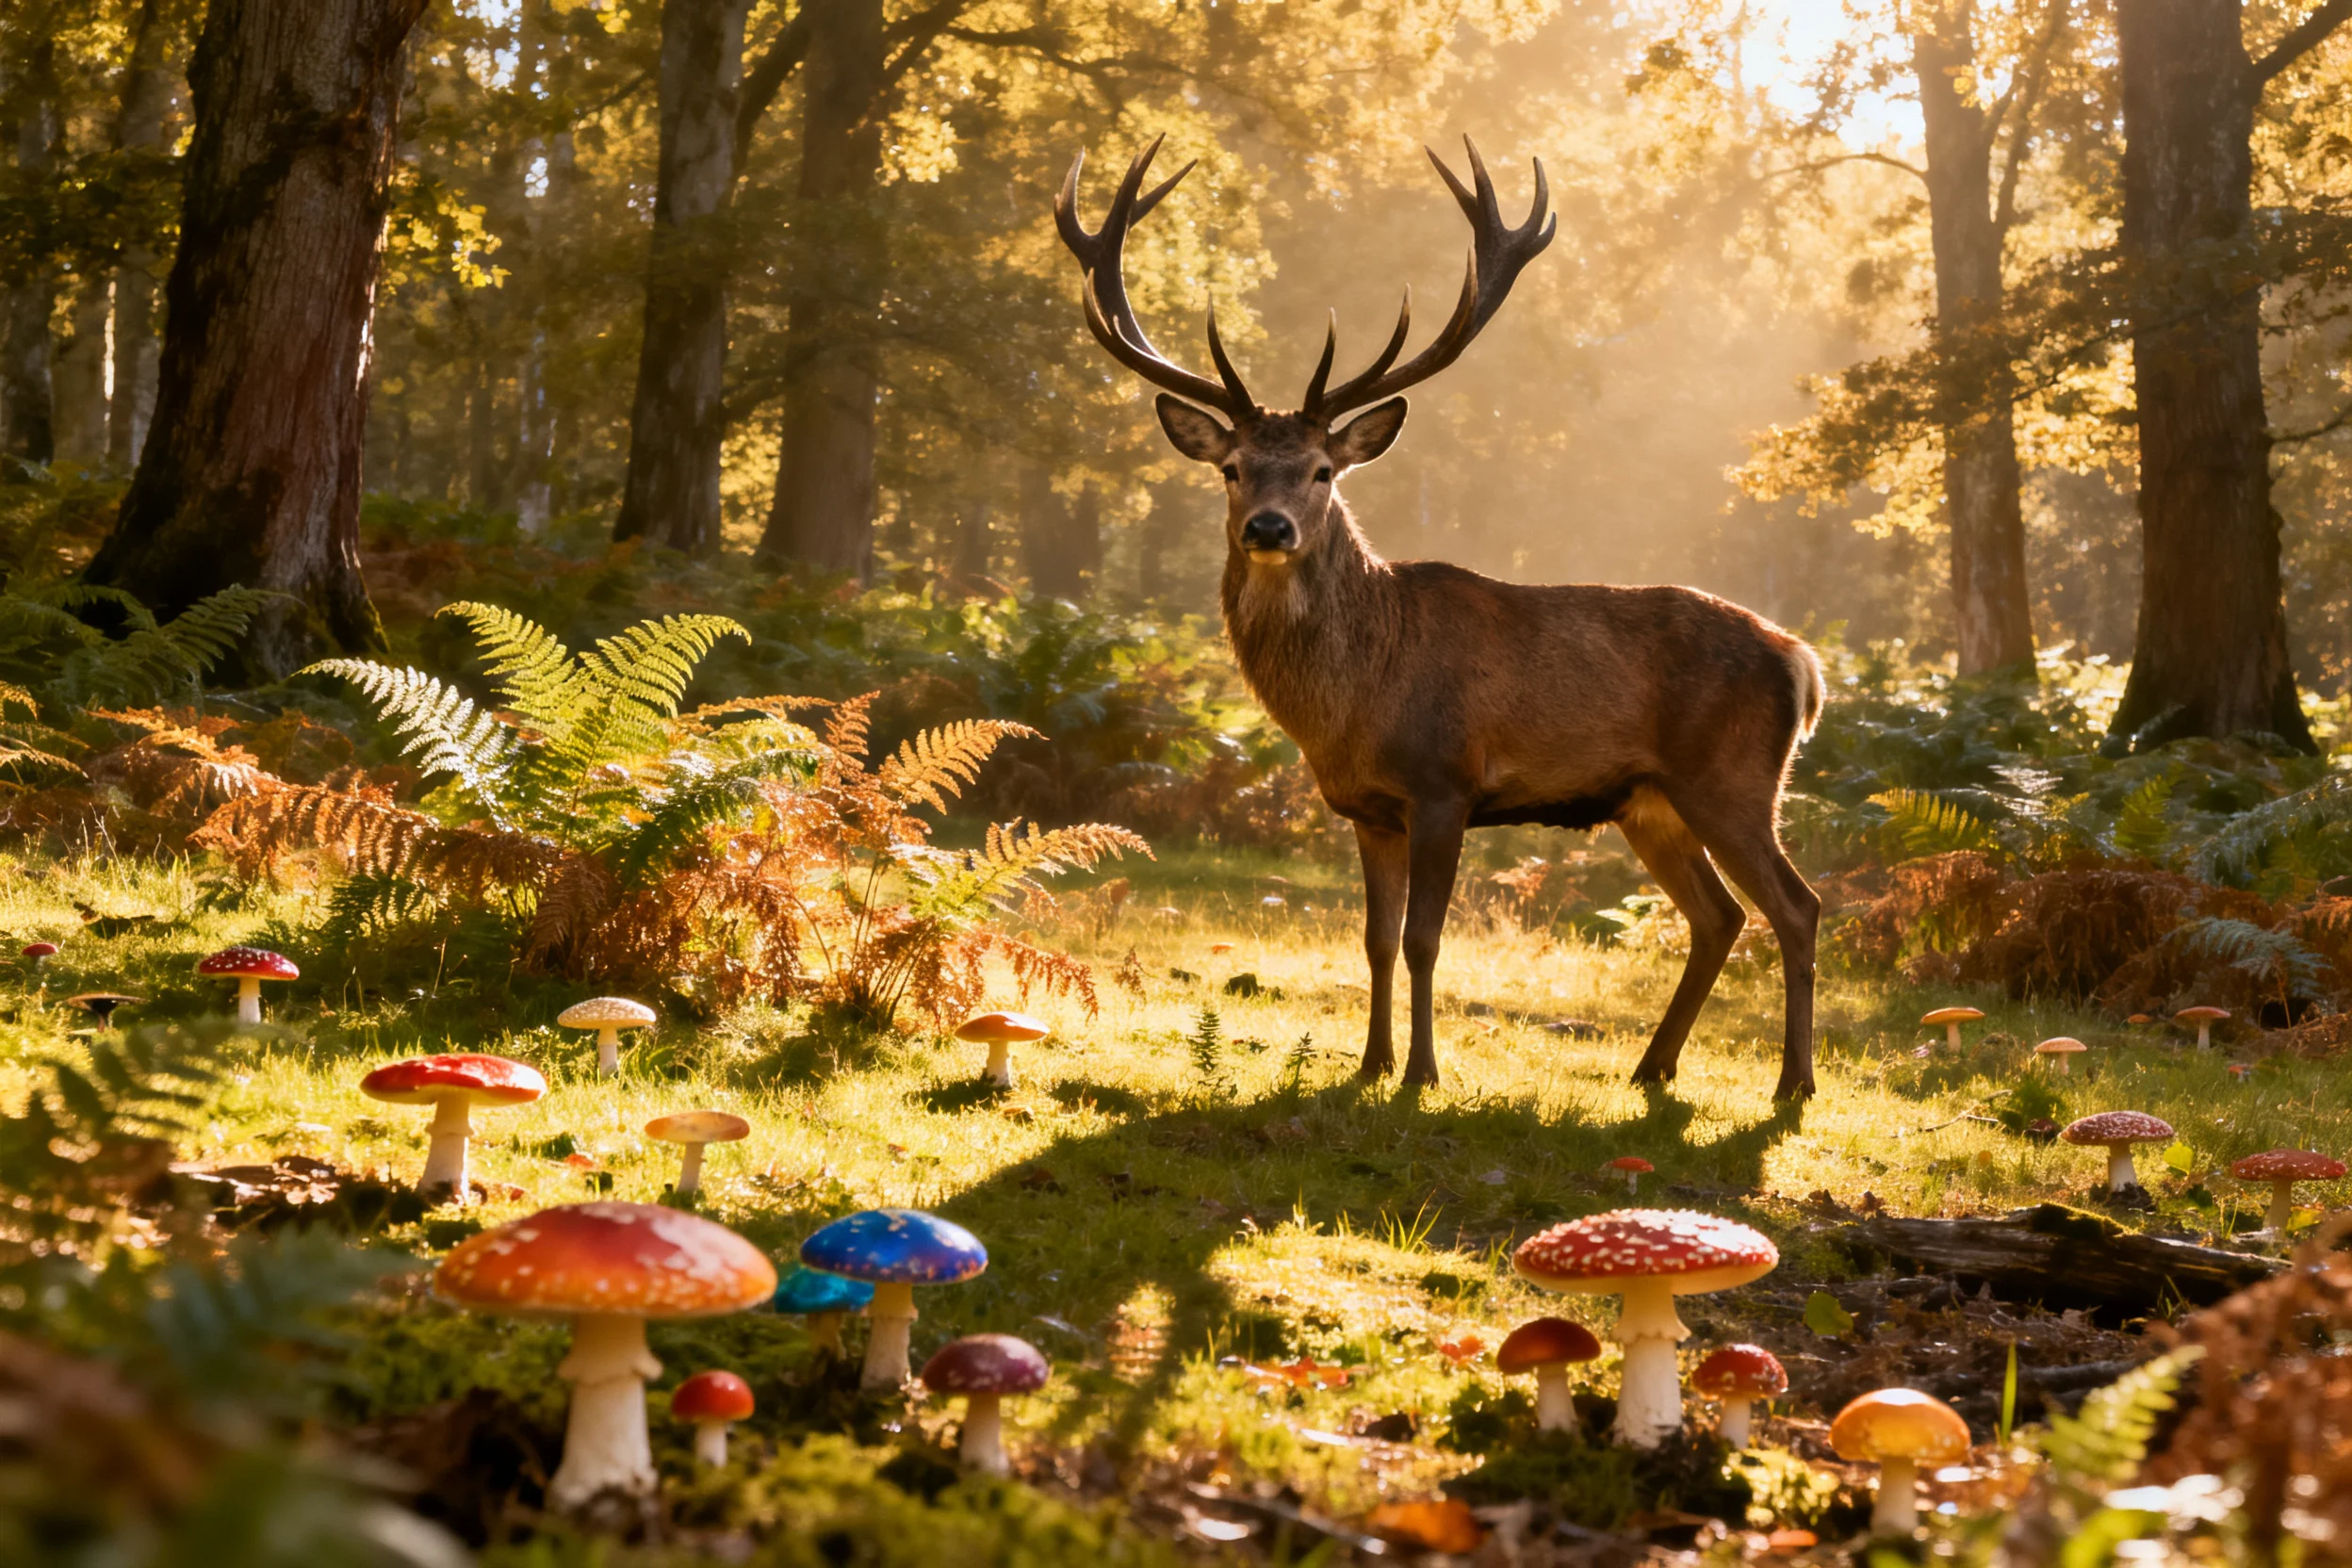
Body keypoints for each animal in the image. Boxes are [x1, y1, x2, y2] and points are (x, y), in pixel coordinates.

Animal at [1055, 138, 1826, 1100]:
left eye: (1322, 470)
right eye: (1231, 468)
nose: (1268, 529)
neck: (1354, 703)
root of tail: (1803, 662)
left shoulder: (1444, 784)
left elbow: (1425, 939)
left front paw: (1421, 1073)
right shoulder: (1367, 809)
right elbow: (1376, 941)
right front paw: (1370, 1063)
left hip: (1732, 779)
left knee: (1798, 906)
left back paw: (1791, 1085)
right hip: (1650, 801)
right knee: (1720, 915)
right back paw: (1653, 1068)